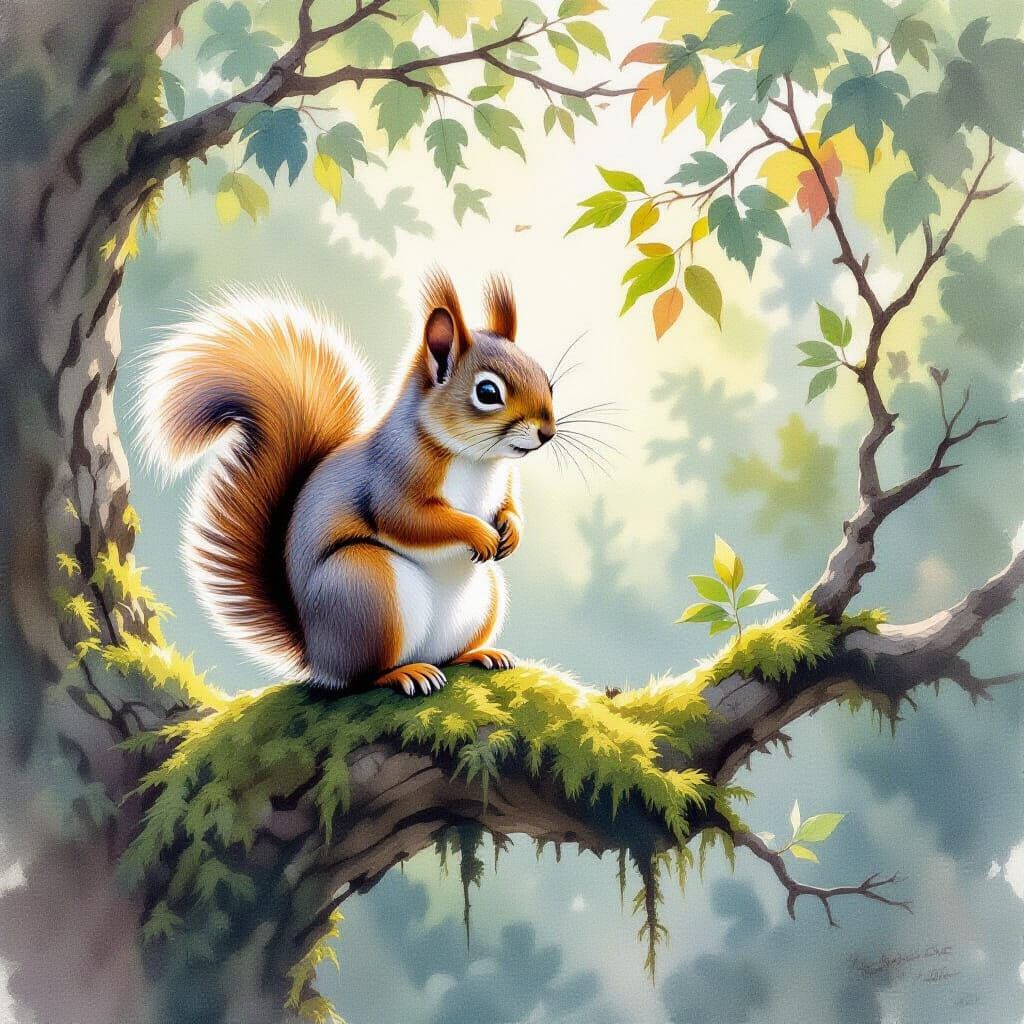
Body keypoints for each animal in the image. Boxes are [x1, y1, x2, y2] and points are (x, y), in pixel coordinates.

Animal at [139, 271, 556, 697]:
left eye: (546, 380)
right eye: (487, 392)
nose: (547, 433)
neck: (477, 459)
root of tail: (316, 654)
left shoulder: (505, 482)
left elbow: (508, 507)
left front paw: (511, 530)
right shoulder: (392, 476)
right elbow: (409, 519)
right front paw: (478, 533)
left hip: (482, 598)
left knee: (446, 654)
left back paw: (478, 653)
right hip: (366, 587)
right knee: (361, 677)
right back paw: (405, 673)